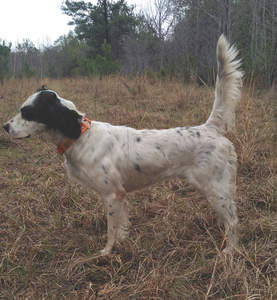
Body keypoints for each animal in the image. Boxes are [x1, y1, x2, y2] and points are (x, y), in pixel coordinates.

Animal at [3, 35, 242, 255]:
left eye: (28, 112)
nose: (5, 126)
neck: (82, 136)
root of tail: (210, 127)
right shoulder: (119, 196)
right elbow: (121, 226)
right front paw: (122, 241)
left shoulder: (112, 194)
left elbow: (111, 229)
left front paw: (106, 252)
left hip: (216, 188)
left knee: (233, 221)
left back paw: (229, 251)